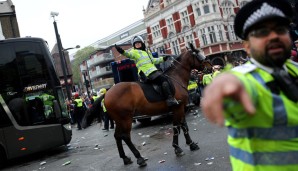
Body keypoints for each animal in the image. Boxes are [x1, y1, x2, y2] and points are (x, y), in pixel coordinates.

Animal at [82, 43, 212, 167]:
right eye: (199, 55)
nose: (210, 67)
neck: (176, 79)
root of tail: (108, 92)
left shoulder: (181, 108)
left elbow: (183, 126)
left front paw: (191, 144)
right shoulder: (178, 108)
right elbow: (176, 127)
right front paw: (177, 148)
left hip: (119, 120)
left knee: (117, 136)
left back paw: (125, 158)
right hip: (125, 118)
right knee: (125, 136)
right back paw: (139, 158)